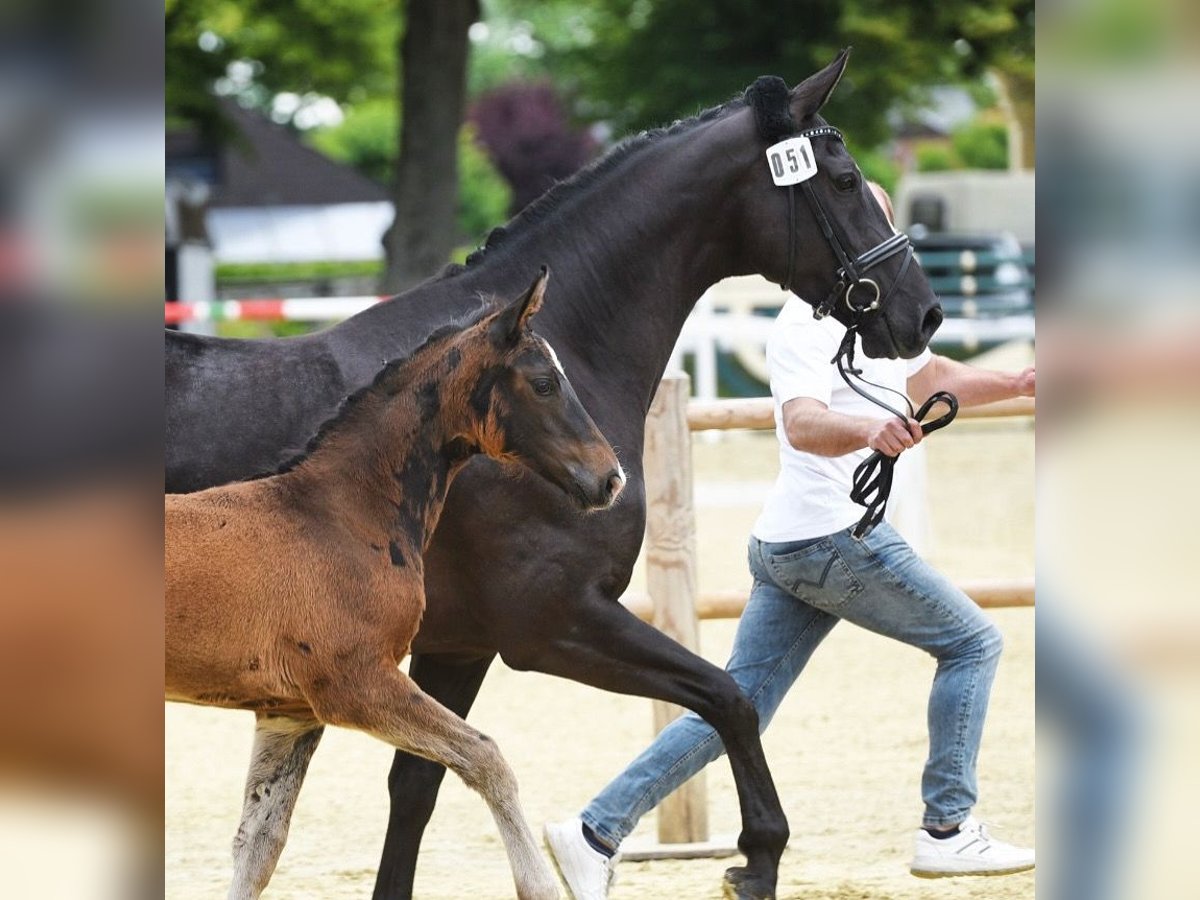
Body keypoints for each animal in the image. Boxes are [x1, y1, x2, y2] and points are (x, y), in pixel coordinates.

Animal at [166, 270, 619, 900]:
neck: (339, 515)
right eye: (545, 383)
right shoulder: (357, 685)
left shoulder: (290, 711)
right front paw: (540, 886)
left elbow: (258, 846)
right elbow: (486, 759)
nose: (610, 478)